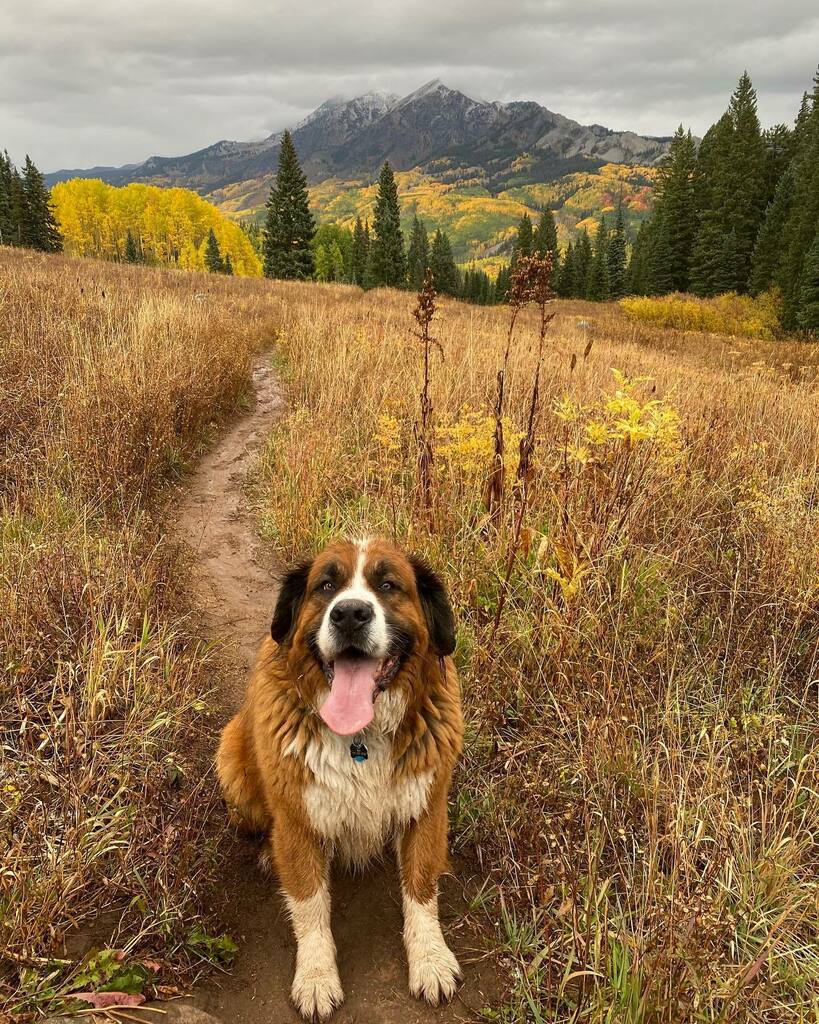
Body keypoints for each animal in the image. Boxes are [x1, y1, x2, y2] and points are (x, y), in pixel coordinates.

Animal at [216, 540, 460, 1019]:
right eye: (326, 586)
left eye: (388, 585)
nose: (349, 614)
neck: (361, 736)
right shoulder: (299, 819)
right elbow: (310, 903)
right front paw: (316, 977)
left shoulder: (426, 807)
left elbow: (422, 889)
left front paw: (431, 959)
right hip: (233, 757)